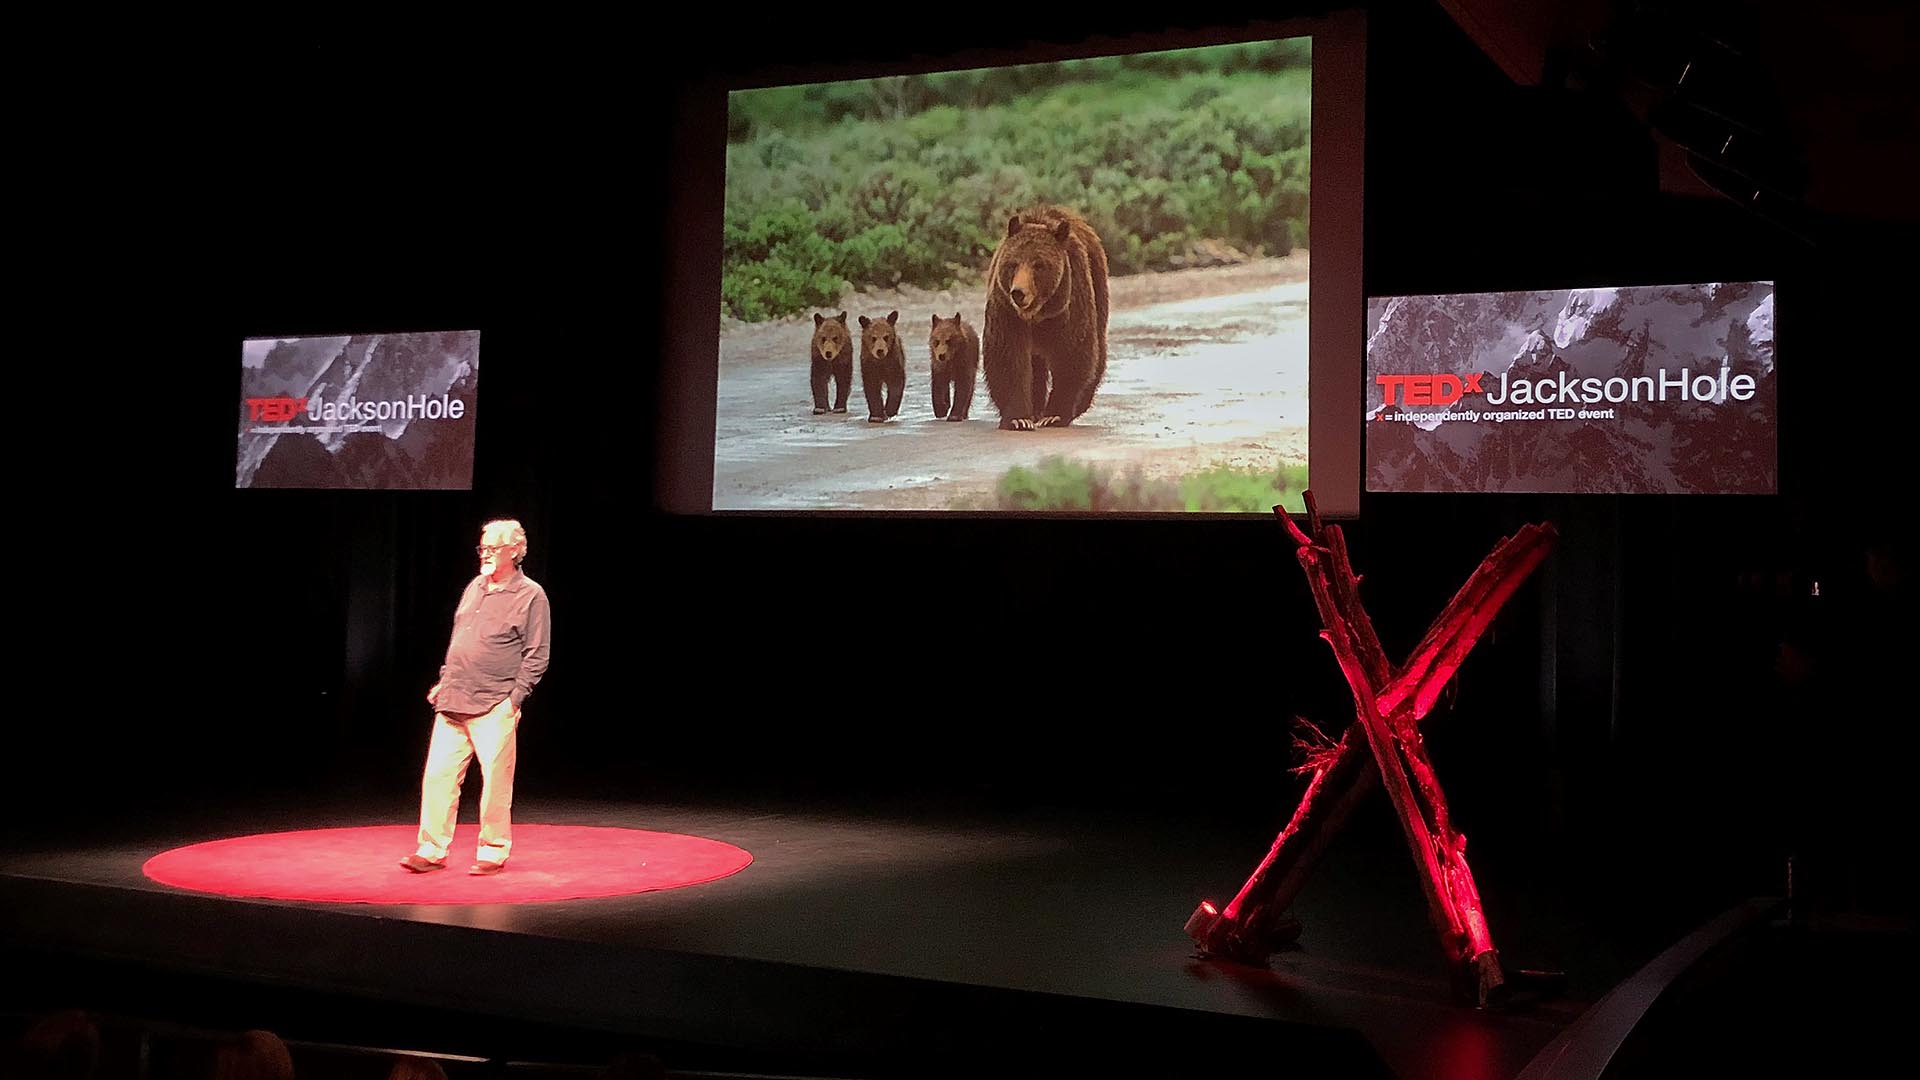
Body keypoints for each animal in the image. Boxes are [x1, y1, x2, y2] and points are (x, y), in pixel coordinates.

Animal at [983, 205, 1121, 428]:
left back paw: (1079, 405)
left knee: (1097, 350)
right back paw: (1035, 409)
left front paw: (1055, 414)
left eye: (1038, 265)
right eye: (1013, 264)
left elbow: (1072, 355)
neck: (1037, 314)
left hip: (1098, 285)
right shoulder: (1007, 312)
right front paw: (1019, 418)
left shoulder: (1069, 306)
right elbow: (1008, 358)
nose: (1018, 293)